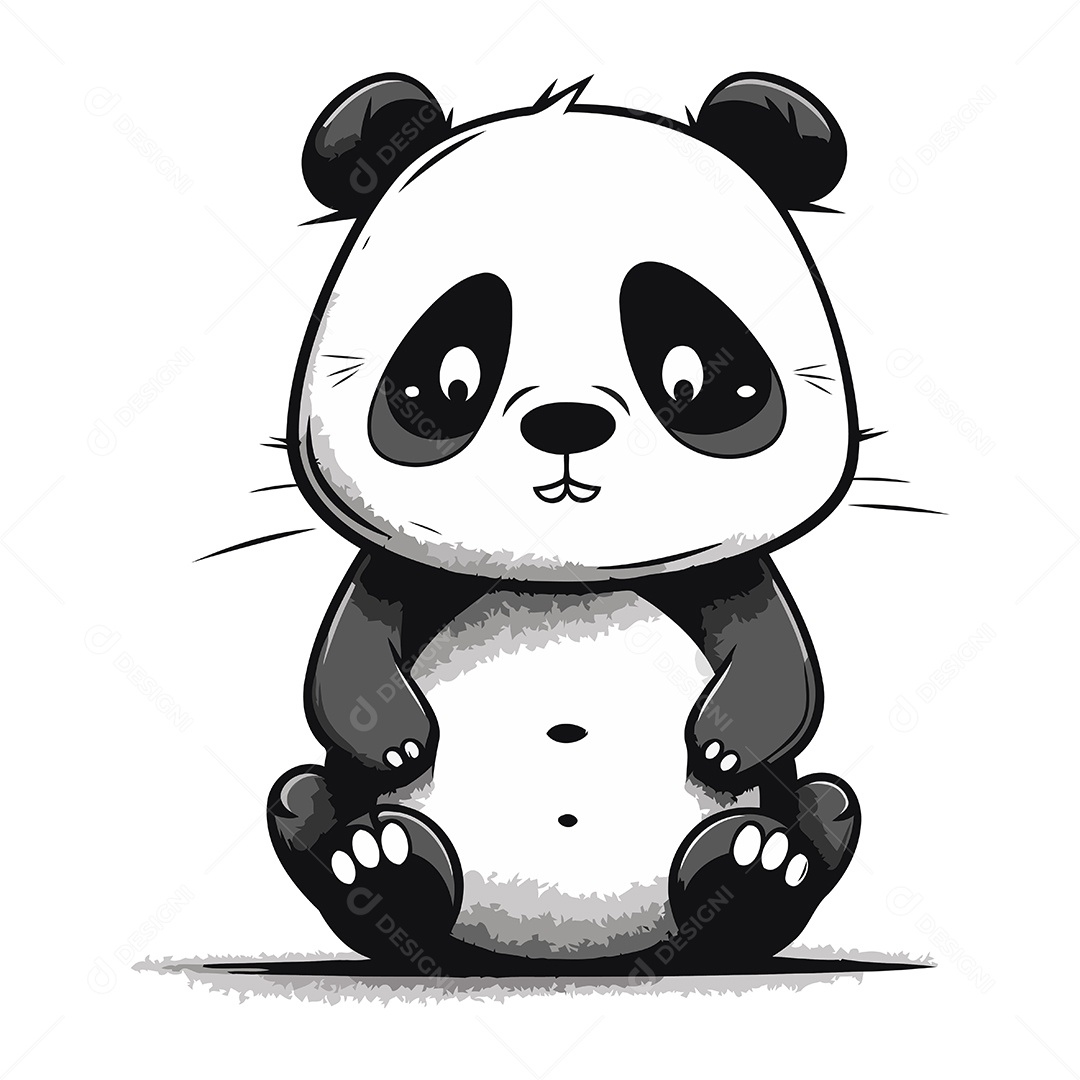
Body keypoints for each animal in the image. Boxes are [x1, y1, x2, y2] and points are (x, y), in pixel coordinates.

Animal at [267, 71, 862, 975]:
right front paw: (396, 739)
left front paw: (726, 742)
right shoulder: (418, 566)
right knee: (302, 803)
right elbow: (354, 641)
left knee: (828, 811)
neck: (562, 575)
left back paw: (759, 862)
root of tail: (566, 955)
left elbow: (773, 649)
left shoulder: (709, 569)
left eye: (691, 373)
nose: (567, 423)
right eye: (450, 377)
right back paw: (377, 861)